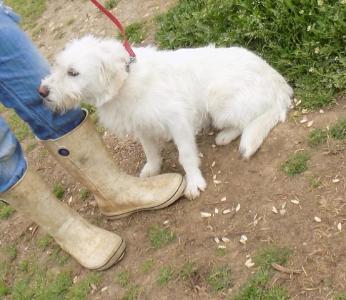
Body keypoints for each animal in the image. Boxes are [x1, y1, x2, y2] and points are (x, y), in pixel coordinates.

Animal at [41, 35, 294, 199]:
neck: (125, 82)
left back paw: (226, 135)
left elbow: (186, 156)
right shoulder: (142, 126)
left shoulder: (177, 121)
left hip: (219, 98)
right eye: (58, 67)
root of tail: (280, 86)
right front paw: (152, 171)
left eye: (73, 72)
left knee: (249, 120)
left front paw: (194, 182)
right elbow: (150, 152)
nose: (41, 91)